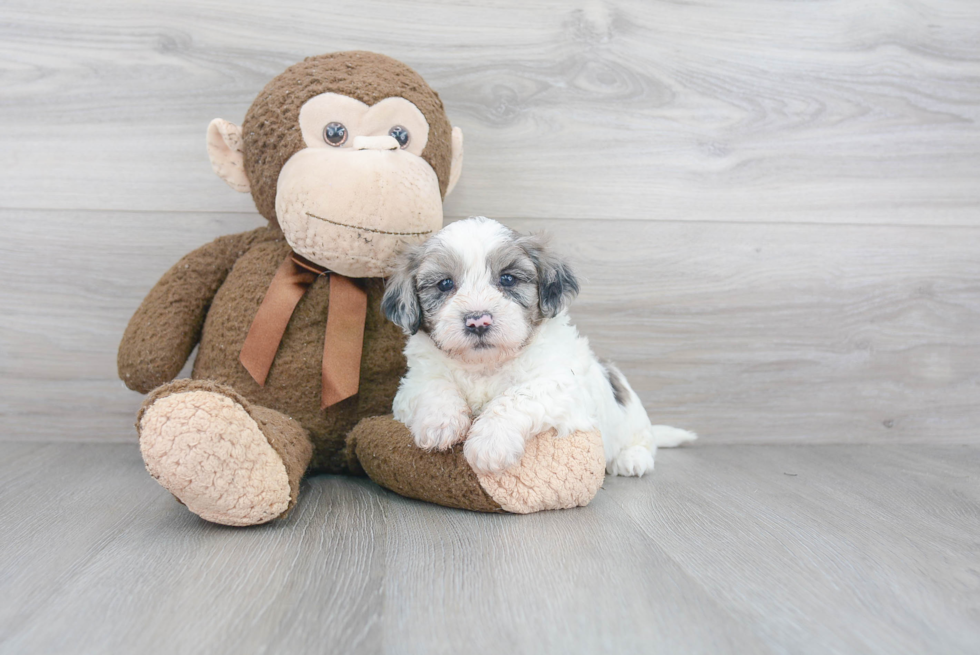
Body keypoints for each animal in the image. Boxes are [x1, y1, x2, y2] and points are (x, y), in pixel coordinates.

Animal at [382, 217, 696, 476]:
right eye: (445, 284)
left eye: (508, 279)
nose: (478, 321)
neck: (485, 365)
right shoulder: (412, 383)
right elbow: (434, 386)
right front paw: (439, 424)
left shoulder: (562, 385)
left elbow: (518, 395)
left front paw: (490, 443)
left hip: (632, 418)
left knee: (643, 440)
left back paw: (632, 459)